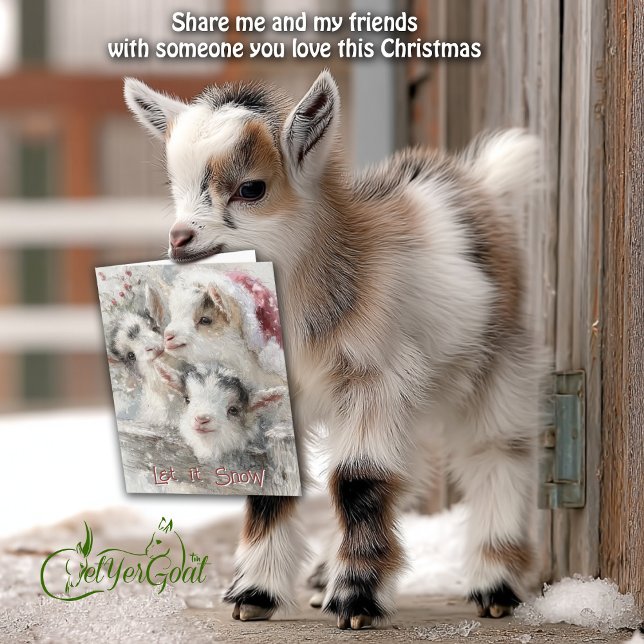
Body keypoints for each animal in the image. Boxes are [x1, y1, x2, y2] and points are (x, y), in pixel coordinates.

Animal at [125, 71, 543, 630]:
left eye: (251, 188)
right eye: (176, 185)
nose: (179, 238)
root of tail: (481, 184)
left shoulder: (375, 377)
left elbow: (357, 480)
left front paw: (356, 601)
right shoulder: (283, 393)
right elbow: (274, 484)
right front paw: (254, 594)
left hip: (497, 357)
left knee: (496, 449)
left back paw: (494, 586)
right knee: (414, 466)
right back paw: (325, 575)